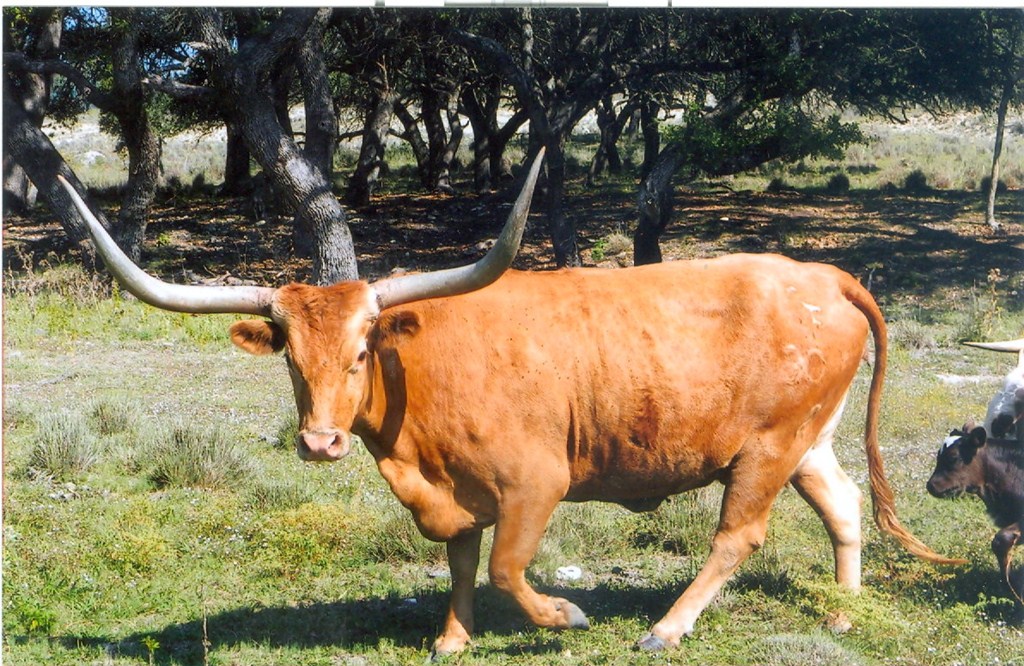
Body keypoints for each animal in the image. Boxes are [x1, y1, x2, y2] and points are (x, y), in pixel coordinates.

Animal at [56, 154, 959, 657]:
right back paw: (844, 616)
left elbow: (505, 566)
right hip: (808, 439)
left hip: (768, 448)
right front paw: (452, 639)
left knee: (739, 535)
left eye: (362, 350)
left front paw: (563, 615)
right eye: (290, 358)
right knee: (843, 507)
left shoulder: (536, 483)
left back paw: (666, 629)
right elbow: (460, 561)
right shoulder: (450, 492)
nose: (319, 442)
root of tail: (822, 273)